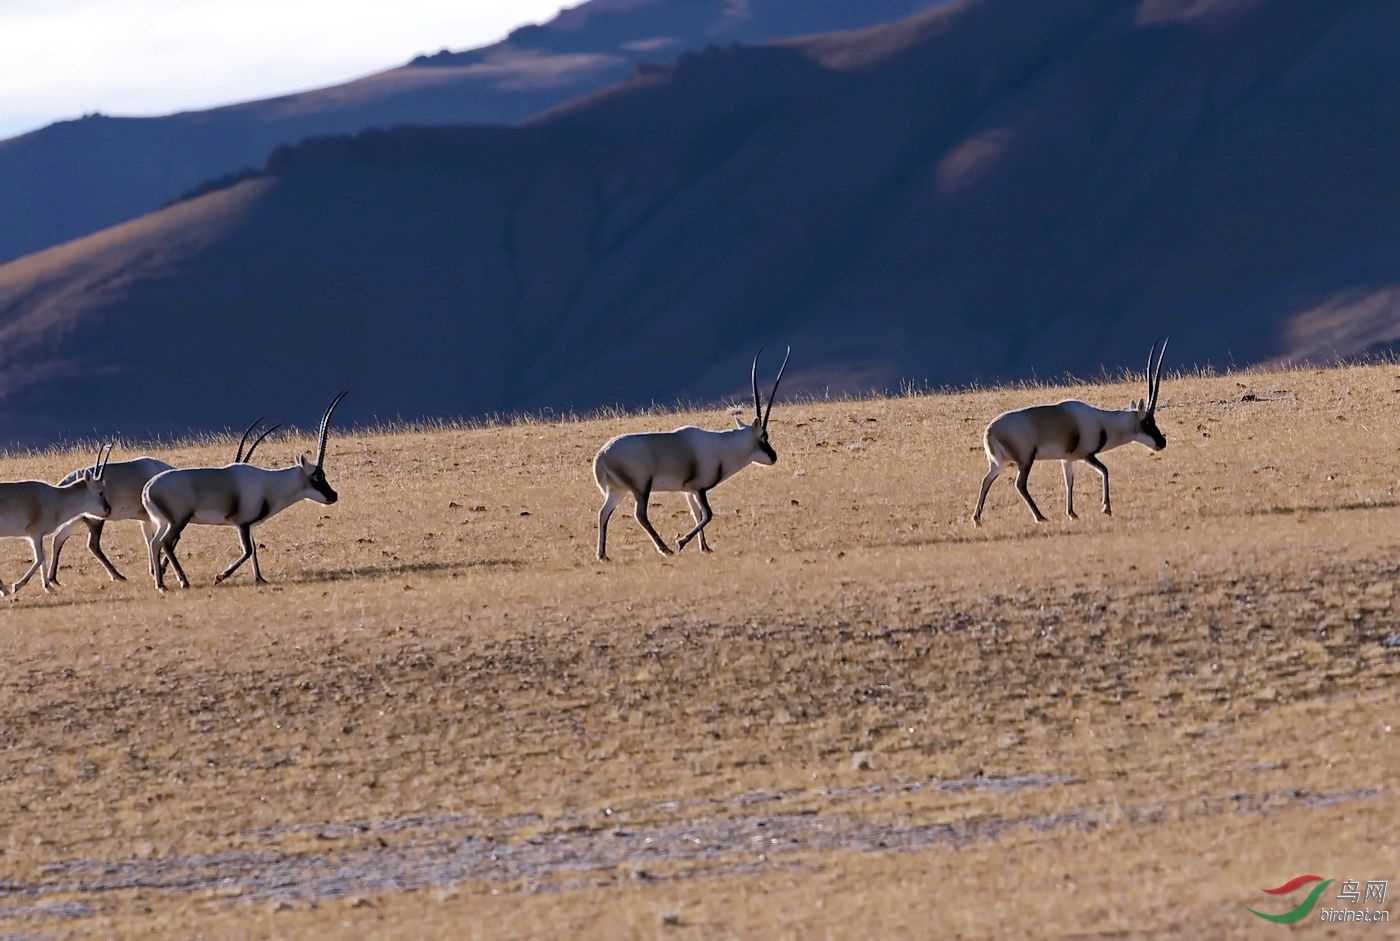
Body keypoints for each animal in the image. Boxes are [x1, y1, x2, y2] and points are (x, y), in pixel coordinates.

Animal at [0, 448, 110, 596]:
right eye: (100, 492)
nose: (108, 510)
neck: (56, 498)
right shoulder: (35, 534)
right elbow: (40, 557)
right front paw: (17, 586)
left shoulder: (37, 536)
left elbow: (43, 556)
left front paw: (48, 587)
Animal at [47, 417, 281, 585]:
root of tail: (66, 481)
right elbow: (169, 540)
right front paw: (163, 571)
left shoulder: (147, 518)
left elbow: (151, 539)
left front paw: (155, 571)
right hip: (95, 519)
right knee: (92, 544)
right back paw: (118, 576)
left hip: (79, 519)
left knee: (59, 537)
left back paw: (53, 579)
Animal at [143, 392, 345, 588]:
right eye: (317, 476)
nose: (333, 496)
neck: (269, 483)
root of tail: (148, 488)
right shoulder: (242, 524)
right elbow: (248, 551)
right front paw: (220, 577)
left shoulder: (248, 526)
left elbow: (254, 549)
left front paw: (260, 579)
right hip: (178, 521)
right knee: (165, 542)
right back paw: (183, 582)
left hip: (164, 522)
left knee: (155, 543)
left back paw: (161, 584)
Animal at [590, 348, 789, 562]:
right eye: (763, 437)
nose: (774, 457)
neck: (723, 446)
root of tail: (602, 456)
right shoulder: (700, 489)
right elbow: (708, 514)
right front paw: (681, 542)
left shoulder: (690, 491)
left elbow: (697, 514)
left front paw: (705, 548)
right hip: (641, 487)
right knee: (640, 515)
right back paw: (665, 549)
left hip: (617, 491)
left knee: (603, 513)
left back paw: (602, 555)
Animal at [974, 341, 1170, 526]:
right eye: (1148, 421)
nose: (1162, 442)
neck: (1102, 422)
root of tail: (989, 431)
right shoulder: (1087, 455)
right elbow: (1105, 470)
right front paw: (1106, 508)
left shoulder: (1067, 459)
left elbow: (1069, 481)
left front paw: (1072, 513)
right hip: (1025, 460)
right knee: (1019, 484)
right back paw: (1040, 517)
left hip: (999, 463)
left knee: (986, 480)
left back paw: (977, 519)